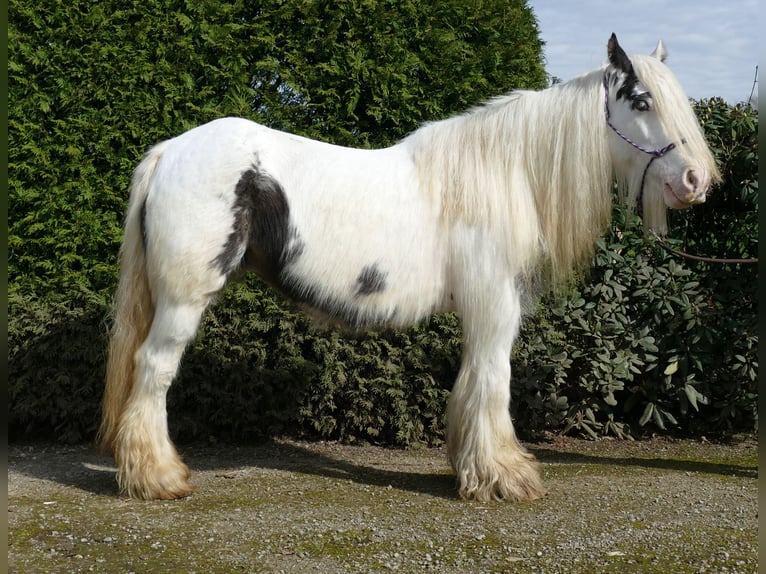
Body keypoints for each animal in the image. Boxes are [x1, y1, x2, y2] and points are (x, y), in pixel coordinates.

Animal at [96, 35, 720, 504]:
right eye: (642, 101)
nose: (696, 181)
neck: (506, 172)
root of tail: (169, 152)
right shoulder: (496, 303)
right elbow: (493, 380)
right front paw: (505, 476)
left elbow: (471, 382)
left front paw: (473, 468)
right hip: (183, 299)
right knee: (153, 370)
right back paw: (158, 478)